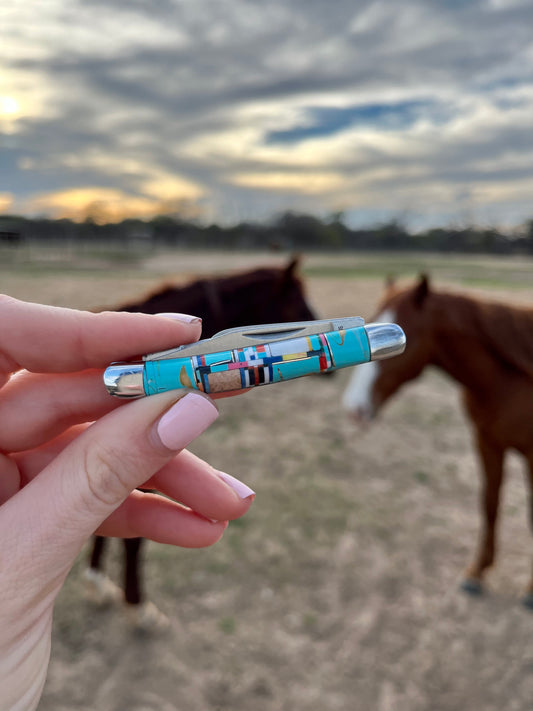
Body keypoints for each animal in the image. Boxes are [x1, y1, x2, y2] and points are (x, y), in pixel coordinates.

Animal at [340, 276, 532, 608]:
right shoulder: (487, 442)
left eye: (398, 340)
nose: (354, 408)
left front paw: (530, 590)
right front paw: (476, 572)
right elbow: (490, 503)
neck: (512, 379)